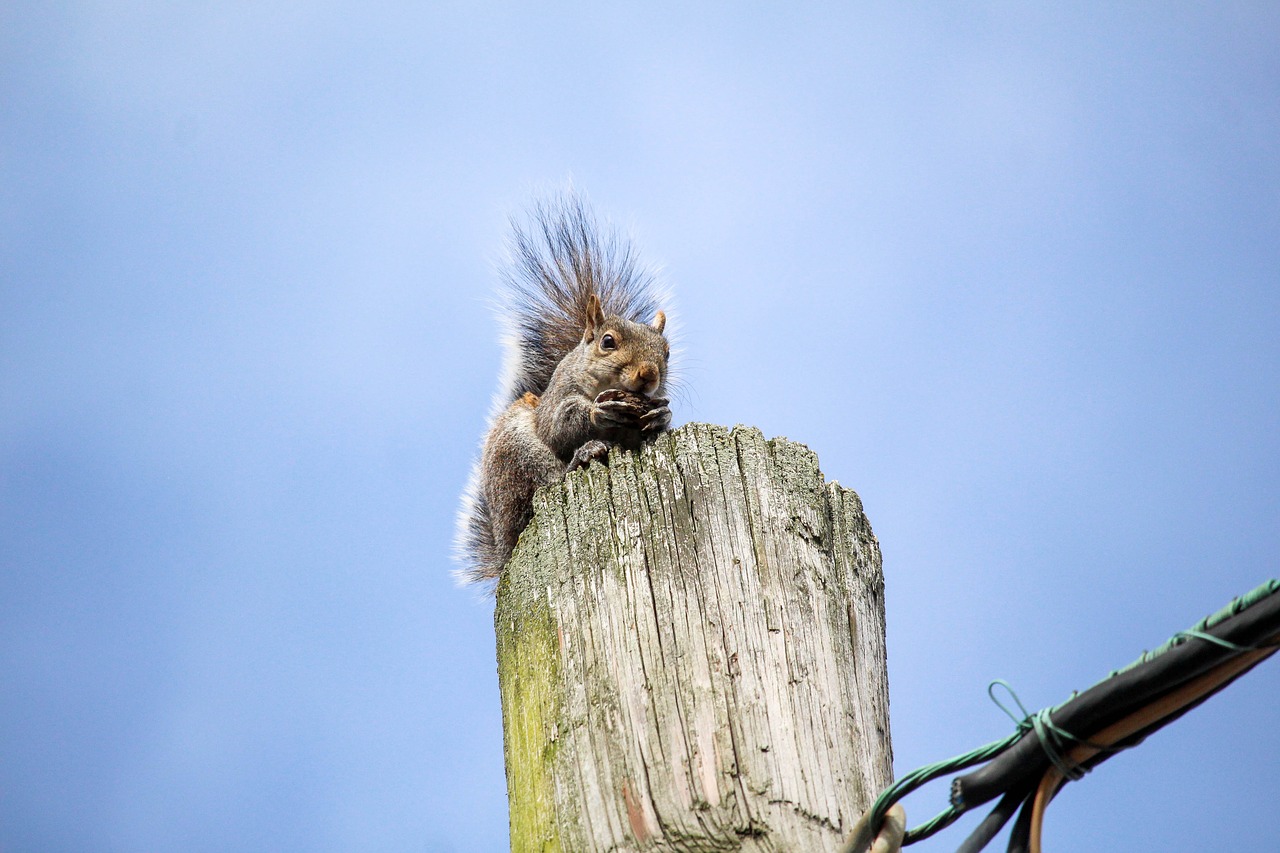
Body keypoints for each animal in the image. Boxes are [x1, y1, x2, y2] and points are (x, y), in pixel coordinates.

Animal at [453, 192, 675, 581]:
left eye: (666, 351)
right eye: (607, 342)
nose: (649, 375)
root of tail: (506, 549)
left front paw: (661, 415)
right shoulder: (556, 402)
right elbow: (558, 427)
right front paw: (599, 411)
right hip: (520, 456)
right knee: (549, 481)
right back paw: (582, 455)